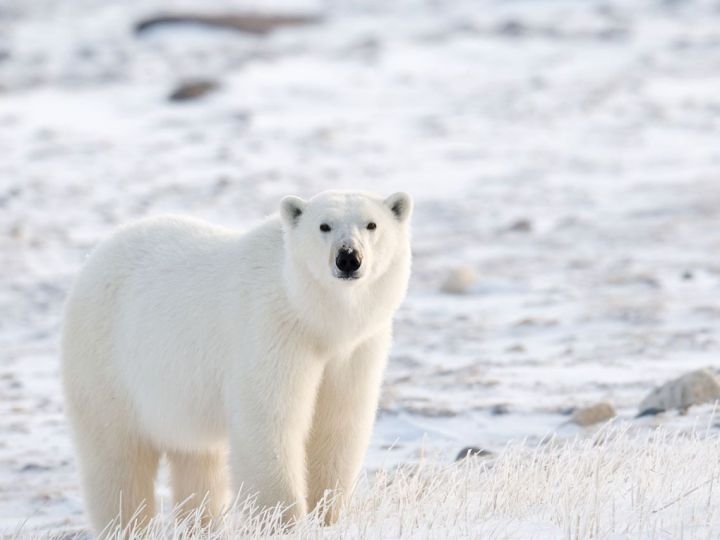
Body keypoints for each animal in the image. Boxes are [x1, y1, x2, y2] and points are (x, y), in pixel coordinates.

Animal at [60, 189, 410, 532]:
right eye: (324, 225)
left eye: (371, 224)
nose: (348, 257)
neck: (313, 317)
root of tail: (96, 255)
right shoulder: (271, 332)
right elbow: (270, 422)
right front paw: (283, 522)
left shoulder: (354, 350)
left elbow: (338, 424)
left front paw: (326, 517)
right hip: (107, 364)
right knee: (117, 459)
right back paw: (127, 525)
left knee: (197, 461)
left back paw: (202, 525)